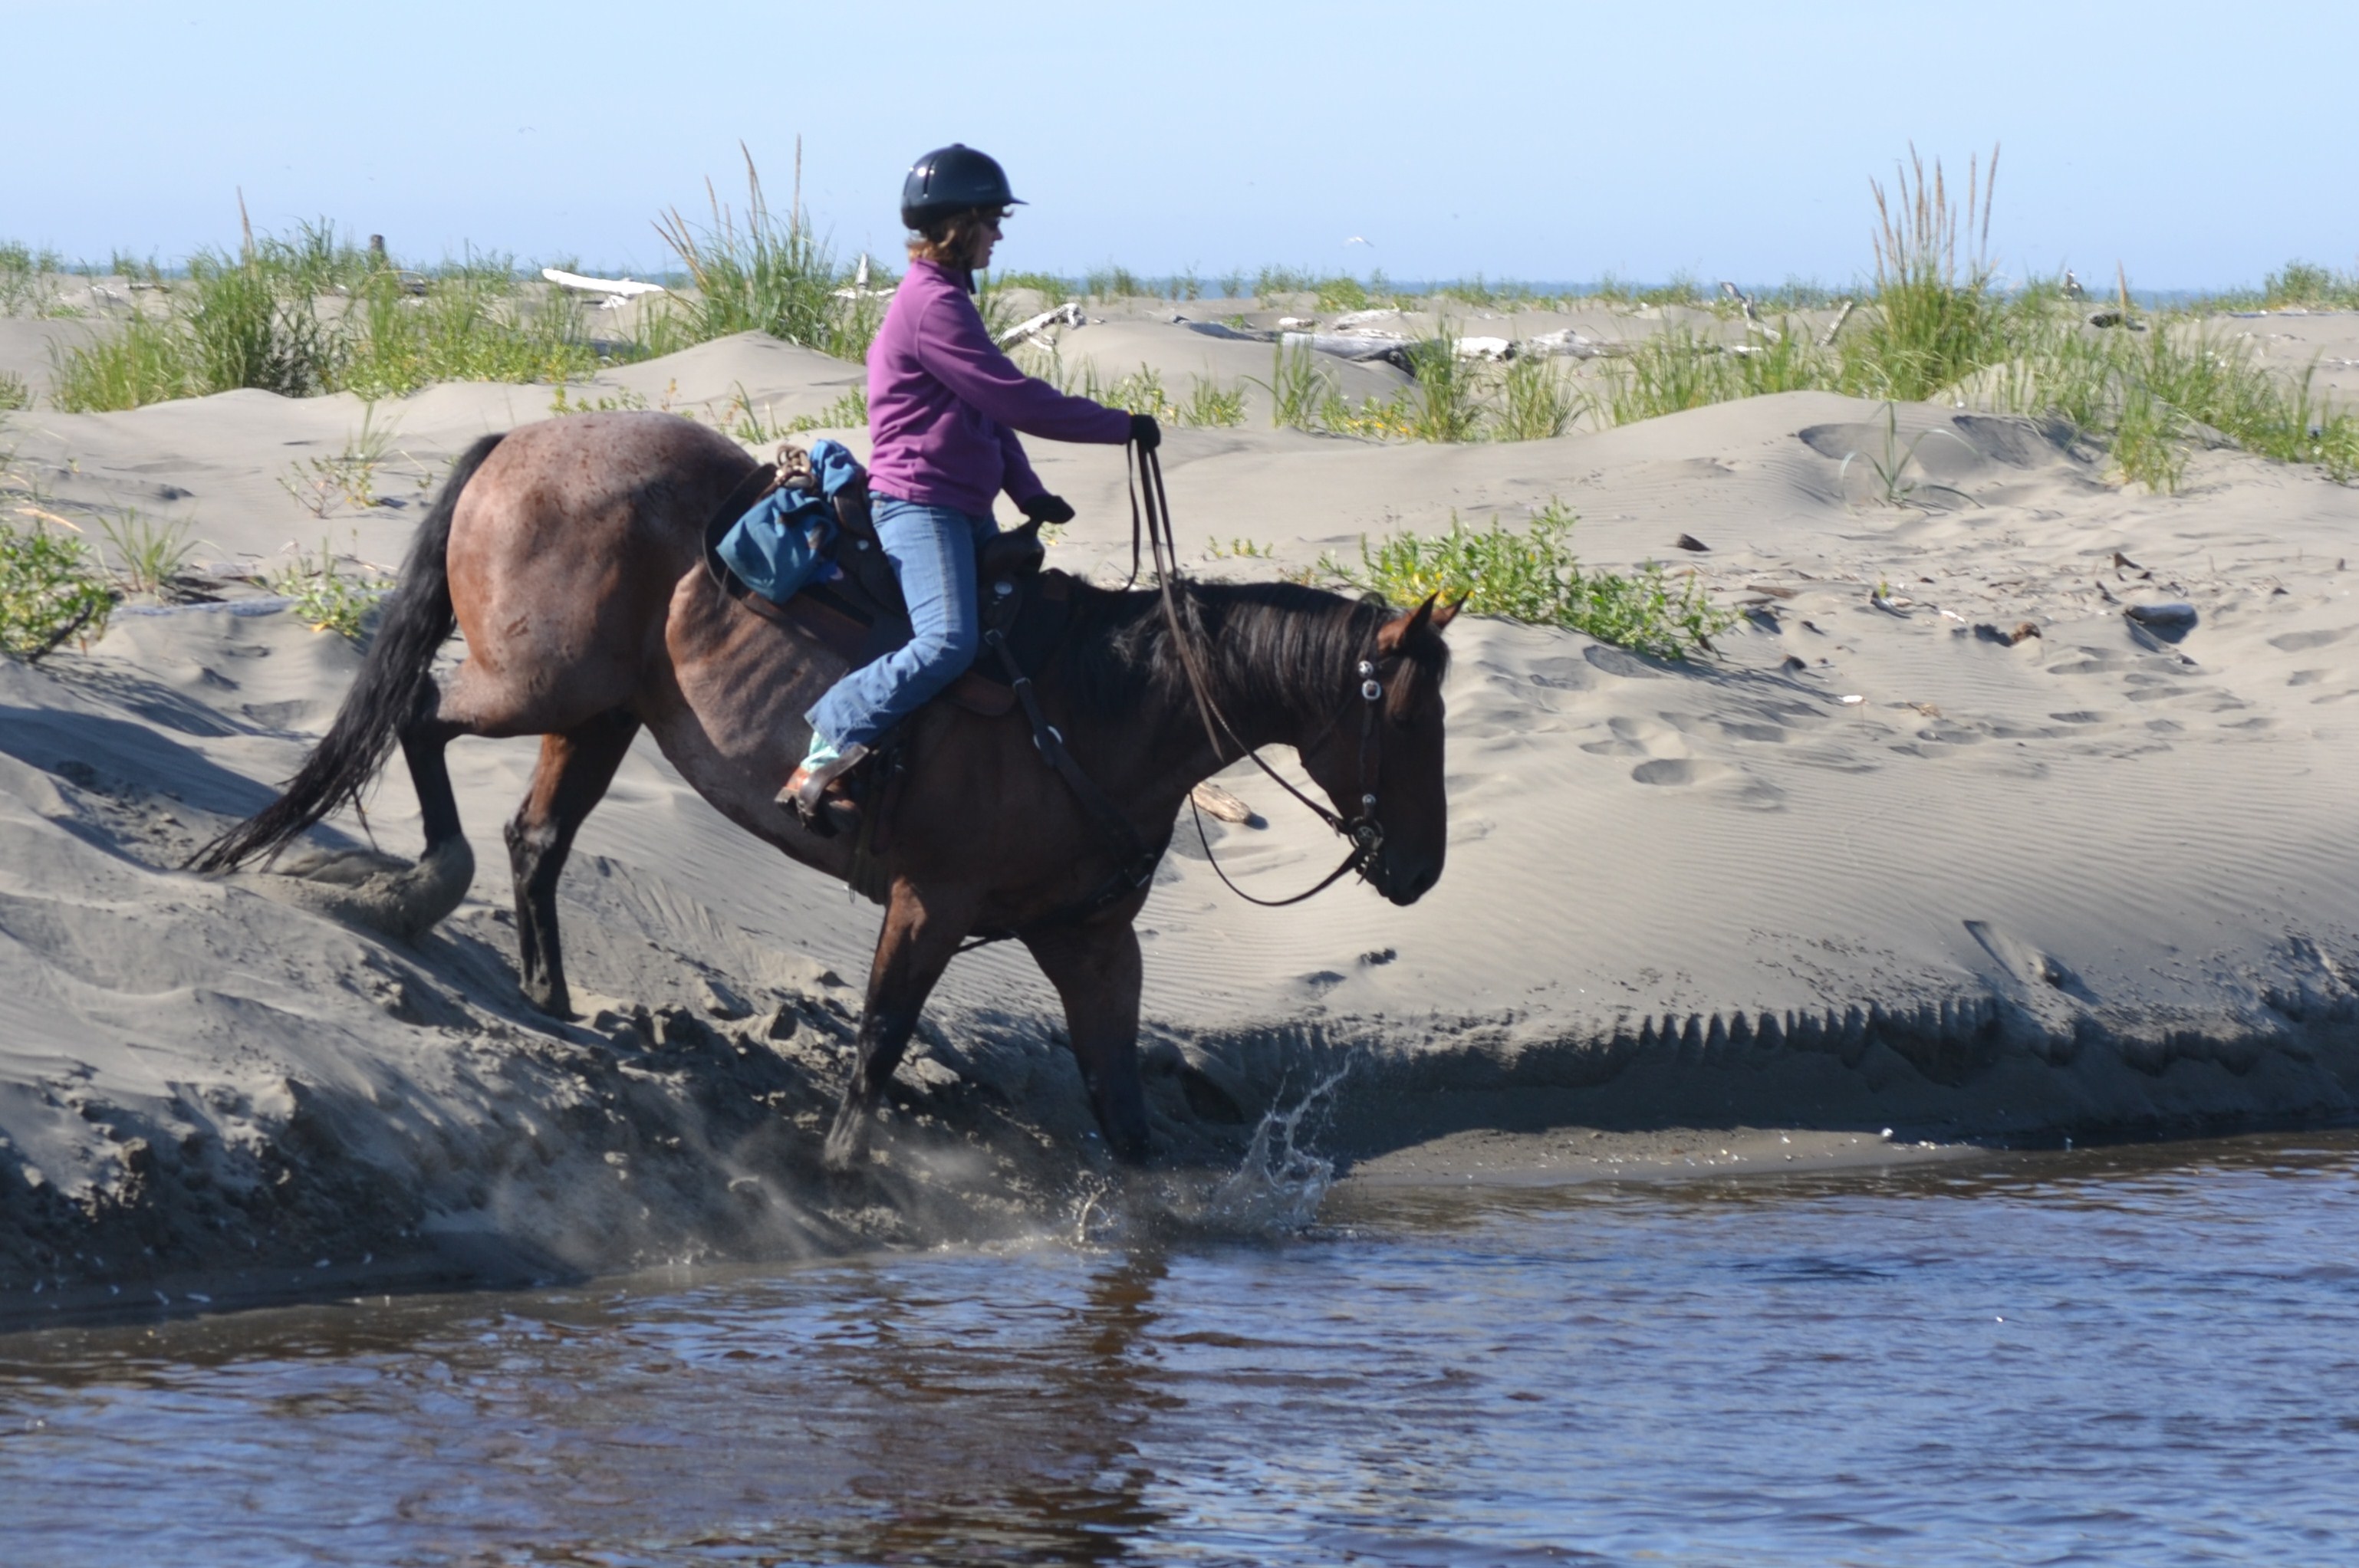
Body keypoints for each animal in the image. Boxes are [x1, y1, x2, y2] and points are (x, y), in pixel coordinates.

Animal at [198, 410, 1453, 1169]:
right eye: (1410, 716)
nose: (1420, 869)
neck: (1099, 709)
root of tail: (521, 440)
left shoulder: (1094, 941)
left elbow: (1124, 1112)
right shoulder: (929, 902)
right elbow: (879, 1042)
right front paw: (842, 1173)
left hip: (598, 714)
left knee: (536, 834)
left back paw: (545, 991)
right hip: (537, 685)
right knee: (420, 724)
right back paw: (422, 886)